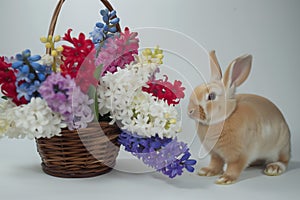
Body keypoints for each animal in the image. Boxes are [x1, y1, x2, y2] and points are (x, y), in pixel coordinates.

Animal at [188, 50, 290, 184]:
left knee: (284, 160)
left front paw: (225, 179)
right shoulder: (215, 154)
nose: (190, 111)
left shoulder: (240, 154)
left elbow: (234, 166)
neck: (224, 118)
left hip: (281, 145)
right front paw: (207, 171)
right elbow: (216, 163)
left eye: (211, 96)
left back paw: (274, 168)